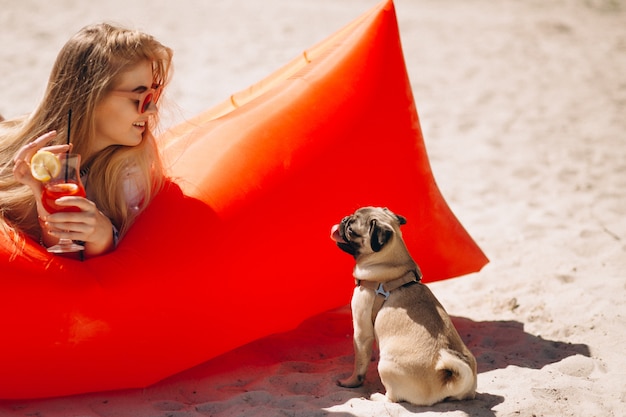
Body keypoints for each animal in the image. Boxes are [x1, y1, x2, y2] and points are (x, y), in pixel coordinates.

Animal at [330, 206, 476, 404]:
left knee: (393, 398)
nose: (345, 219)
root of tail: (446, 382)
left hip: (385, 365)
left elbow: (359, 364)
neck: (390, 265)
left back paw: (376, 396)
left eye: (352, 230)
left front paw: (350, 382)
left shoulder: (361, 331)